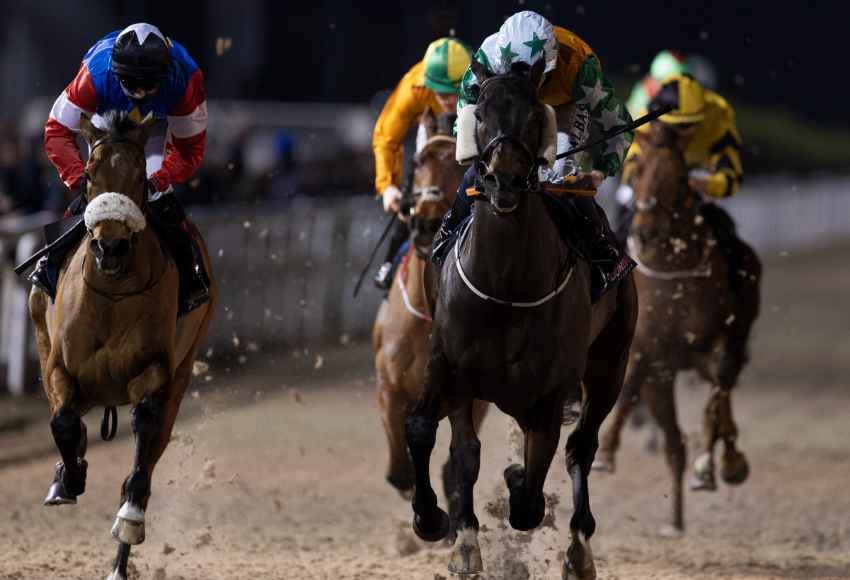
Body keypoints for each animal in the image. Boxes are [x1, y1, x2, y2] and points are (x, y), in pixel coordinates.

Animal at [30, 113, 219, 580]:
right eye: (90, 175)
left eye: (138, 177)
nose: (110, 246)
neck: (112, 294)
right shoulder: (58, 366)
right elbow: (62, 422)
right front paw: (69, 478)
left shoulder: (154, 372)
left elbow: (143, 435)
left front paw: (129, 518)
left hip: (182, 373)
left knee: (148, 459)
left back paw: (121, 556)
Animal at [404, 60, 636, 580]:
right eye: (482, 113)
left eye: (533, 114)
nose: (505, 181)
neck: (507, 286)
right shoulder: (450, 366)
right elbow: (436, 436)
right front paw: (442, 526)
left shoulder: (550, 392)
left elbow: (530, 498)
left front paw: (513, 485)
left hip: (609, 364)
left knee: (580, 447)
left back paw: (578, 550)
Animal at [588, 123, 760, 536]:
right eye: (636, 168)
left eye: (678, 178)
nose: (647, 231)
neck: (673, 270)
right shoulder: (648, 350)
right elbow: (630, 386)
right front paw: (605, 452)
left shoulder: (720, 342)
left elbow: (717, 397)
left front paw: (710, 466)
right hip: (663, 378)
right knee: (673, 441)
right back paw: (676, 518)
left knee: (720, 396)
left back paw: (724, 465)